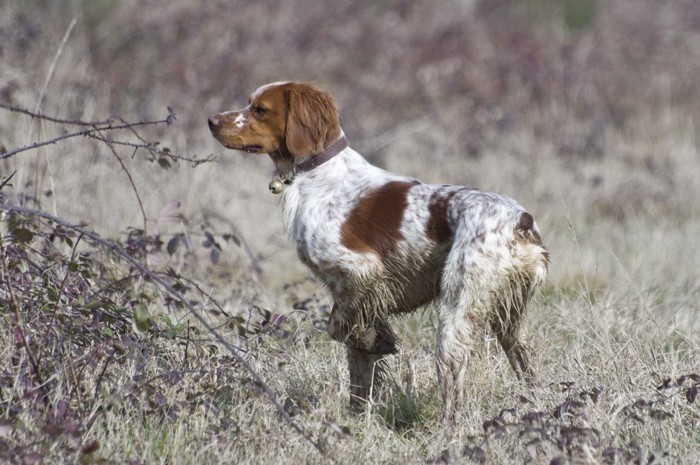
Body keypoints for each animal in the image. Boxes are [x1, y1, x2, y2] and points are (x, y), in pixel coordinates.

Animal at [208, 81, 548, 426]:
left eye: (260, 109)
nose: (212, 120)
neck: (317, 175)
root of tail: (520, 220)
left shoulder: (361, 270)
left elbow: (338, 329)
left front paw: (379, 342)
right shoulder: (355, 293)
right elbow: (359, 370)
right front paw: (357, 417)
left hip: (457, 311)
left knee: (453, 386)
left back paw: (447, 432)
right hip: (511, 322)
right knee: (527, 366)